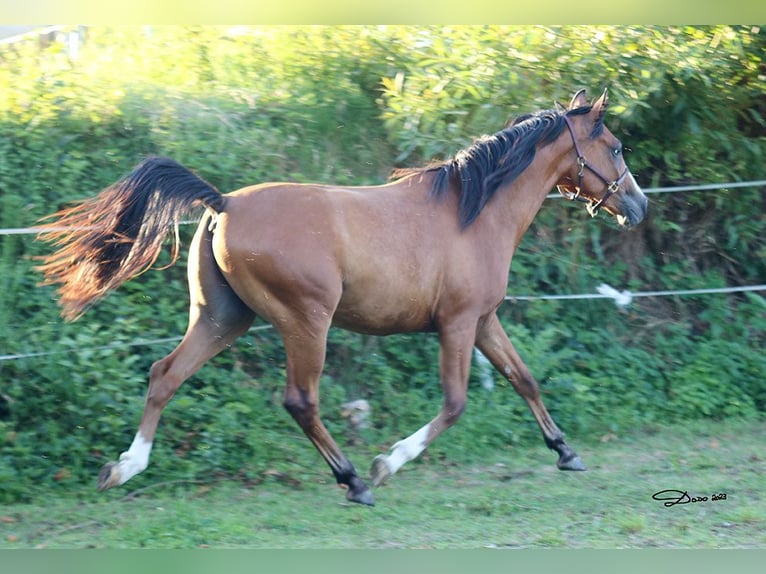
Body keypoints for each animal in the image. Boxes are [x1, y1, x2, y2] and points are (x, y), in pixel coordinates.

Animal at [36, 88, 648, 506]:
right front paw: (387, 463)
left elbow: (524, 379)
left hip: (222, 319)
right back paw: (353, 479)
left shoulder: (483, 320)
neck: (473, 211)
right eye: (617, 148)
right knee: (300, 401)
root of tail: (224, 203)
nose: (639, 207)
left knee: (165, 375)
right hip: (306, 322)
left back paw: (123, 468)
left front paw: (566, 451)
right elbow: (455, 404)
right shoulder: (456, 324)